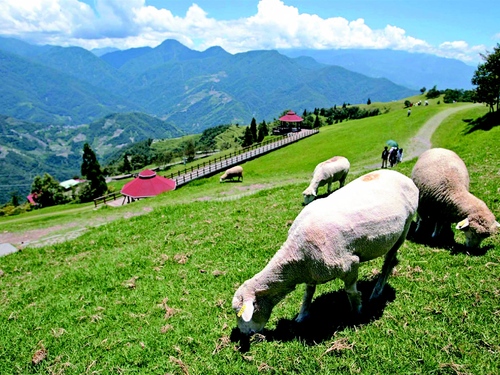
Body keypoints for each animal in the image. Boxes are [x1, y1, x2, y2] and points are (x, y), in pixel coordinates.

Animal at [232, 170, 420, 338]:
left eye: (241, 314)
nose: (244, 334)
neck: (296, 259)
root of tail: (401, 176)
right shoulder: (311, 272)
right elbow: (307, 294)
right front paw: (302, 316)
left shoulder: (350, 264)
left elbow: (351, 292)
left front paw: (357, 313)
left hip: (404, 228)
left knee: (389, 261)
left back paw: (376, 291)